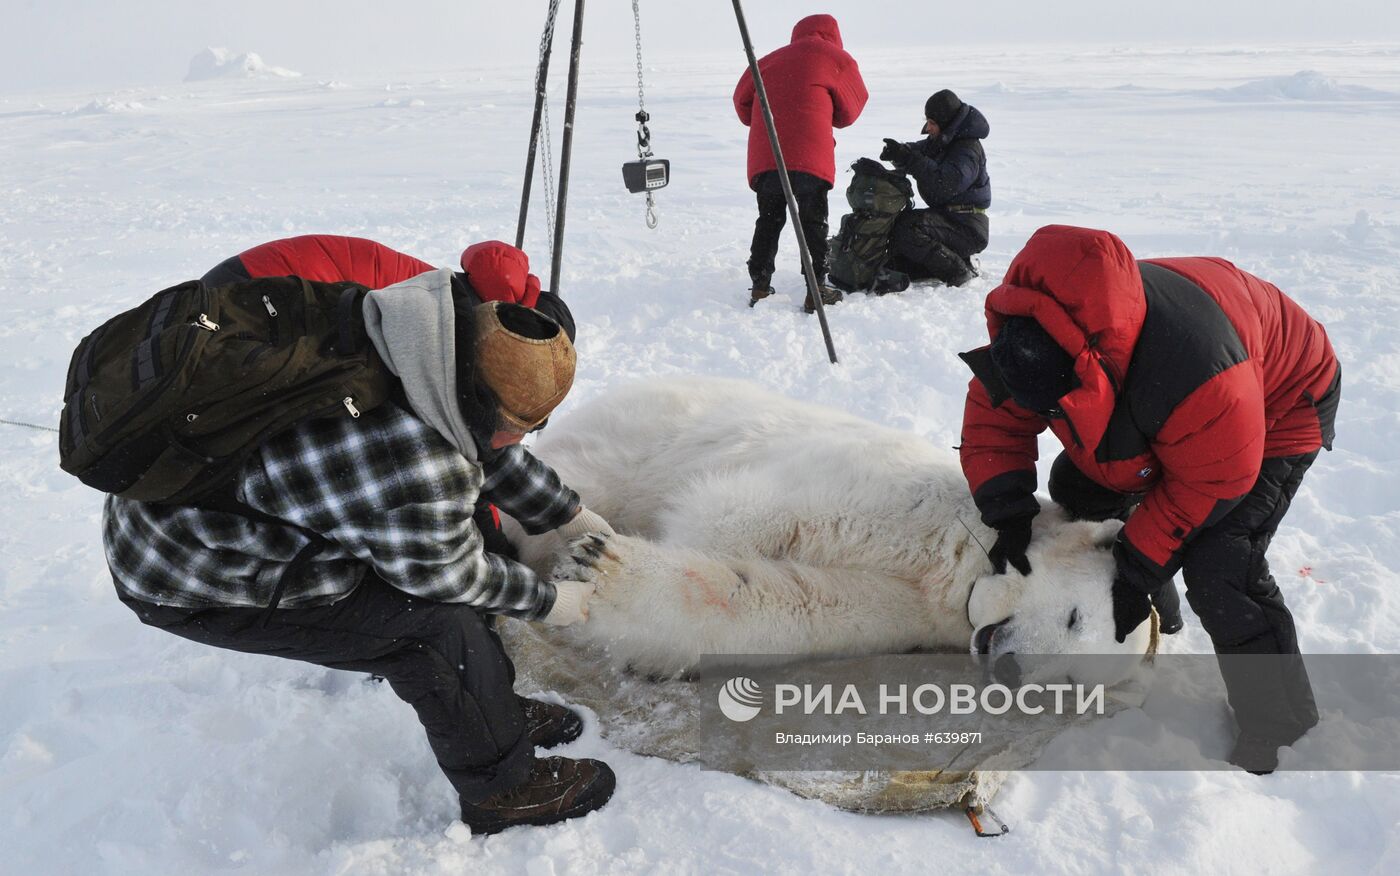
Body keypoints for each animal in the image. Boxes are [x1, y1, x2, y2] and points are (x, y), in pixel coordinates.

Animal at [509, 375, 1153, 674]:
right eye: (1075, 617)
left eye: (1067, 685)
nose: (1013, 671)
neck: (961, 559)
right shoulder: (896, 494)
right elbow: (738, 511)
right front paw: (597, 554)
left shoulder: (912, 614)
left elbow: (796, 605)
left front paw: (601, 571)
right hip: (635, 436)